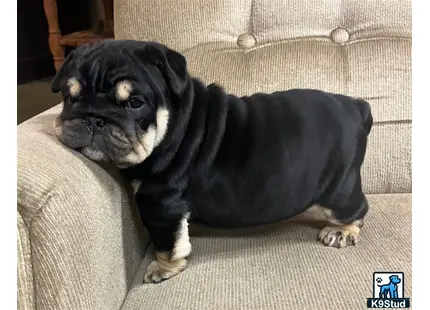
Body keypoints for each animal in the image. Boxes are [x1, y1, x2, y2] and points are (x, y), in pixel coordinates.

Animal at [51, 40, 372, 284]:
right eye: (70, 97)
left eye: (134, 103)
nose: (94, 119)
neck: (176, 123)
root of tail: (358, 107)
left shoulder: (160, 206)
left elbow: (168, 244)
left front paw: (162, 269)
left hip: (339, 185)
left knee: (354, 208)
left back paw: (341, 231)